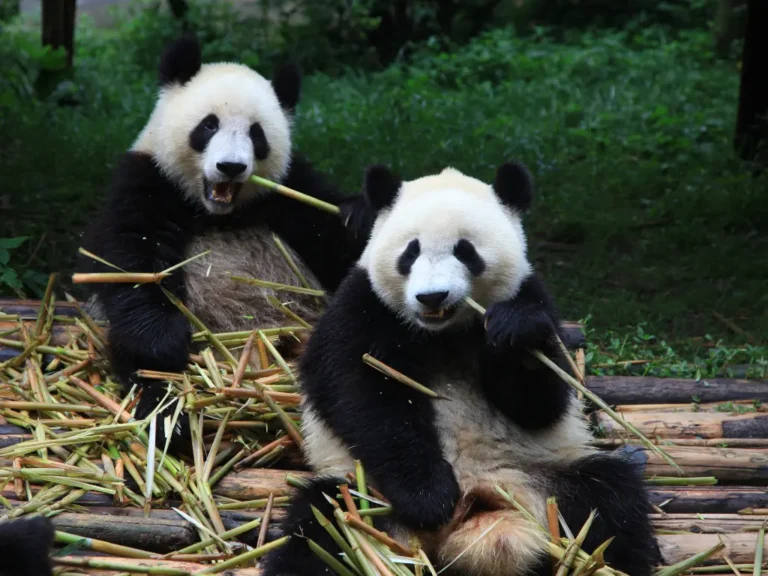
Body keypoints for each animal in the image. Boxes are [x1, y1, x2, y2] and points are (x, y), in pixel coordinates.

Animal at [77, 35, 368, 452]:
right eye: (208, 125)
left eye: (257, 134)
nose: (231, 167)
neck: (216, 212)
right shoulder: (147, 181)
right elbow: (133, 264)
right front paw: (164, 342)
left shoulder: (290, 190)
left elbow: (337, 247)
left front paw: (356, 217)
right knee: (147, 370)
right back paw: (169, 421)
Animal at [261, 162, 659, 576]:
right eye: (411, 251)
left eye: (465, 251)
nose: (432, 297)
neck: (441, 333)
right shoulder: (363, 306)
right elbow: (362, 392)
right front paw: (428, 497)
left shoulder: (534, 299)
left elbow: (541, 402)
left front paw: (514, 332)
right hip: (364, 496)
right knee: (321, 523)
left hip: (543, 480)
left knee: (610, 501)